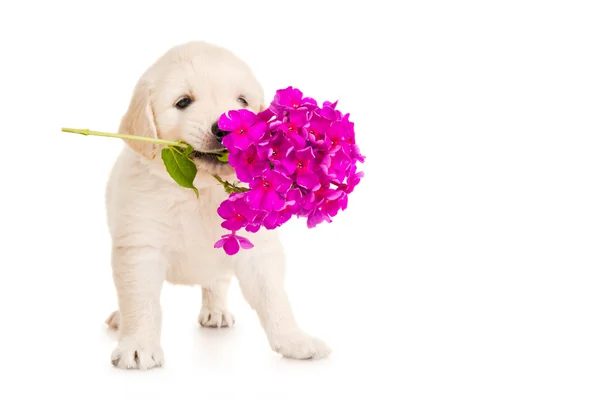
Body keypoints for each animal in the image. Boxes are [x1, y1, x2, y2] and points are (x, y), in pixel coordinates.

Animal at [105, 39, 332, 368]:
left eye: (242, 101)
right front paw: (137, 345)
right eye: (183, 102)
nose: (224, 128)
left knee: (217, 283)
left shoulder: (258, 249)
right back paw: (119, 318)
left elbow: (274, 298)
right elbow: (141, 302)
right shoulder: (139, 246)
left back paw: (217, 310)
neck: (199, 190)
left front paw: (295, 340)